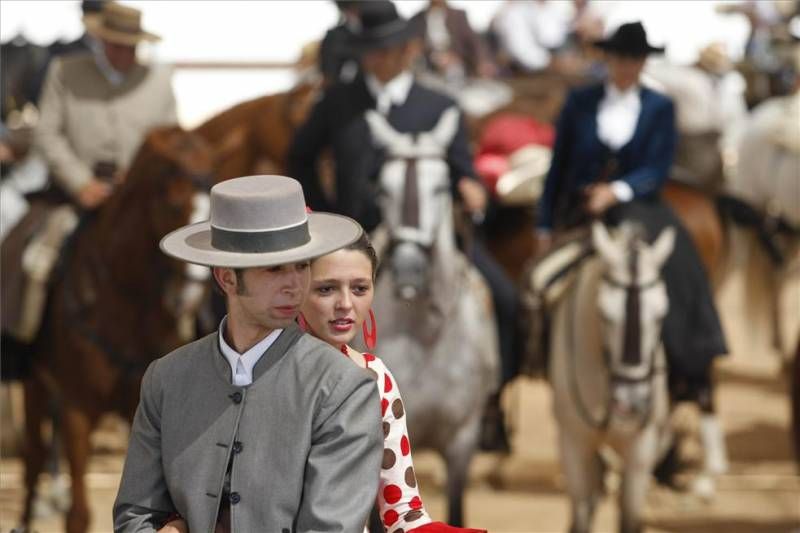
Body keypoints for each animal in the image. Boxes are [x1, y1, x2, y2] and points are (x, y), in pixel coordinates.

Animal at [21, 127, 216, 528]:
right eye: (174, 204)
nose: (189, 297)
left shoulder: (139, 412)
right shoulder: (77, 409)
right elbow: (78, 515)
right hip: (35, 383)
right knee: (32, 457)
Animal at [552, 221, 676, 532]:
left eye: (661, 314)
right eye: (604, 315)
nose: (630, 403)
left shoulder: (640, 449)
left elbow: (630, 517)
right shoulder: (573, 444)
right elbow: (581, 514)